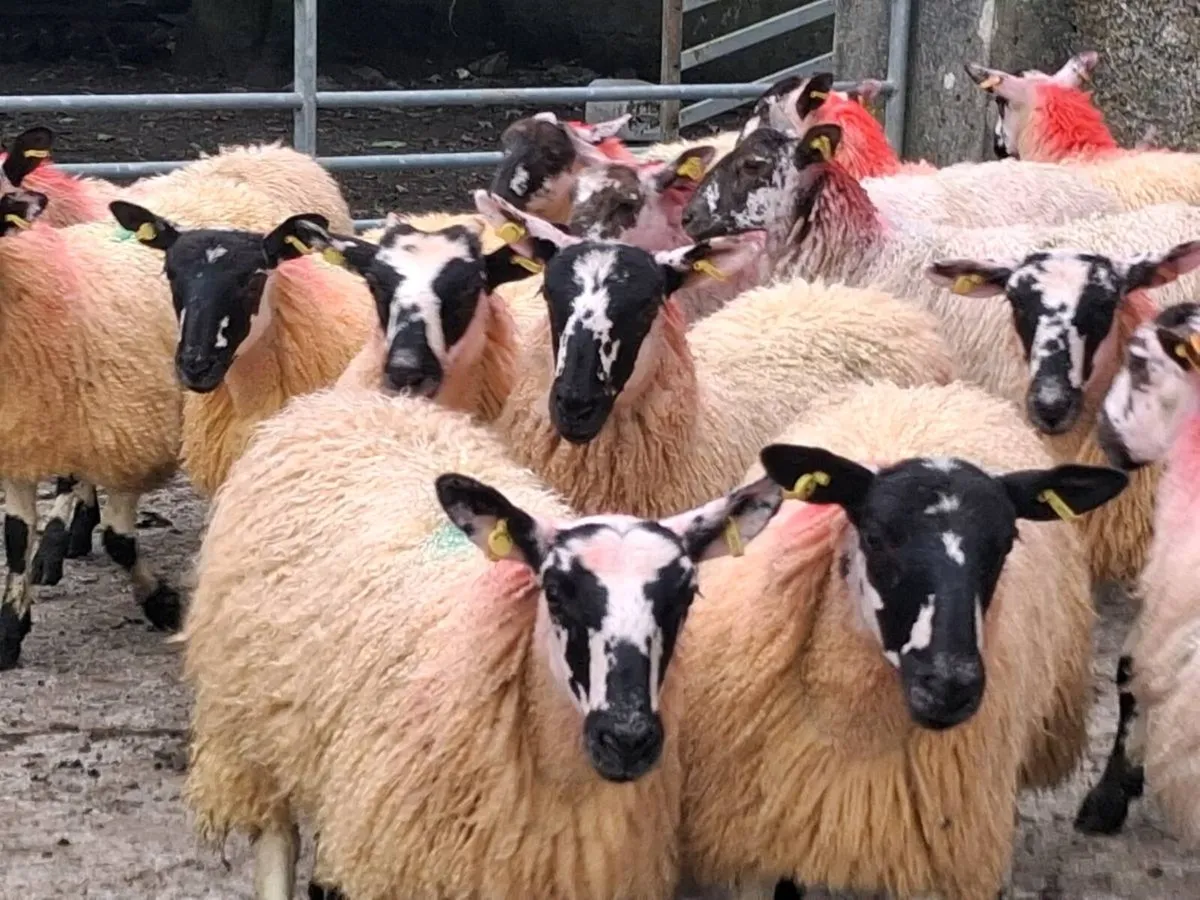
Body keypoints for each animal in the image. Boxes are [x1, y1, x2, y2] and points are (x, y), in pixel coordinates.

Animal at [0, 191, 183, 669]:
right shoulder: (18, 438)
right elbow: (15, 539)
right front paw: (10, 630)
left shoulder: (129, 437)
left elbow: (119, 541)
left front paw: (162, 604)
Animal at [180, 385, 783, 900]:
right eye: (554, 591)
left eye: (687, 595)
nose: (627, 739)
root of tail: (340, 402)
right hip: (247, 731)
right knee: (276, 843)